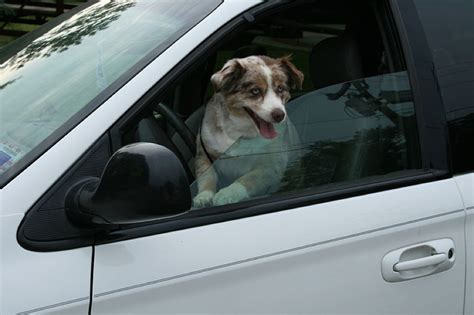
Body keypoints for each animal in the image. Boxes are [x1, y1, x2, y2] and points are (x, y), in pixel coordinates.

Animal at [193, 55, 304, 209]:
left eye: (280, 88)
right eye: (255, 91)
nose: (279, 115)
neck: (241, 132)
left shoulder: (271, 166)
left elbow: (248, 178)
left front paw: (227, 193)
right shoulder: (204, 153)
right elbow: (207, 175)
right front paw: (203, 196)